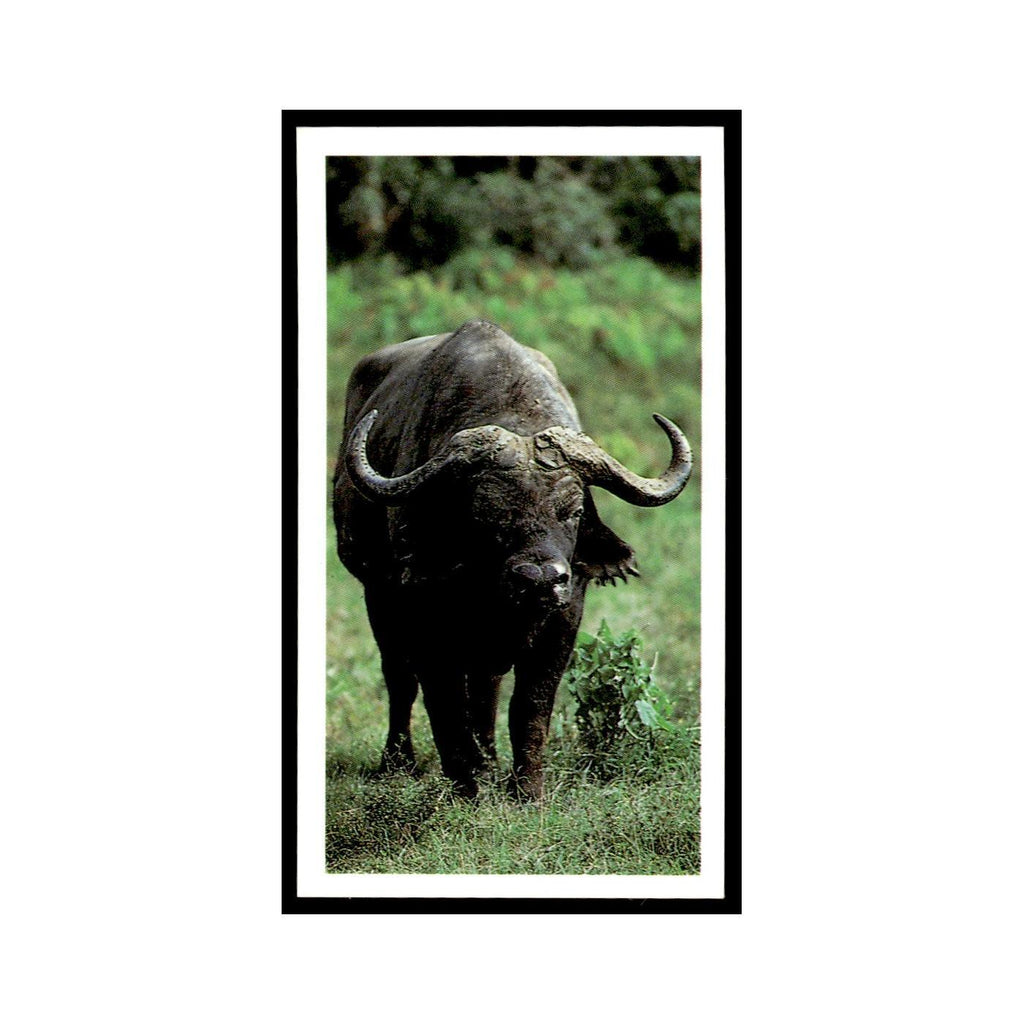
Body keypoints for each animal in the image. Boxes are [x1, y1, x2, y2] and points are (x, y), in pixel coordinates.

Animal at [333, 319, 692, 799]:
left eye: (573, 511)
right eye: (484, 512)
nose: (539, 580)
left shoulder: (564, 620)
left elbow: (529, 706)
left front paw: (526, 791)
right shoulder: (425, 619)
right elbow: (443, 702)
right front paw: (467, 783)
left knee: (486, 688)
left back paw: (488, 757)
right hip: (377, 596)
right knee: (399, 679)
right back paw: (399, 762)